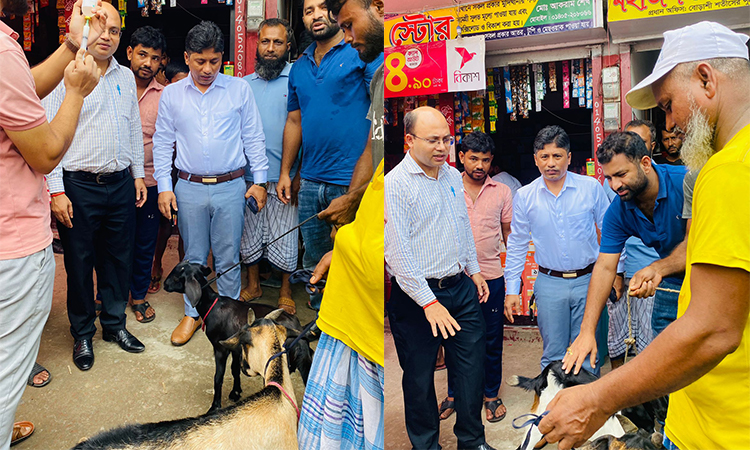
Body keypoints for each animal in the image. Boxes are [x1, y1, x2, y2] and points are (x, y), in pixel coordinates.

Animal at [163, 262, 316, 414]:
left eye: (176, 276)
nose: (164, 285)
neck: (212, 305)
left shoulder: (220, 349)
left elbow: (218, 376)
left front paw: (214, 406)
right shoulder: (236, 348)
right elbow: (234, 369)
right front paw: (236, 392)